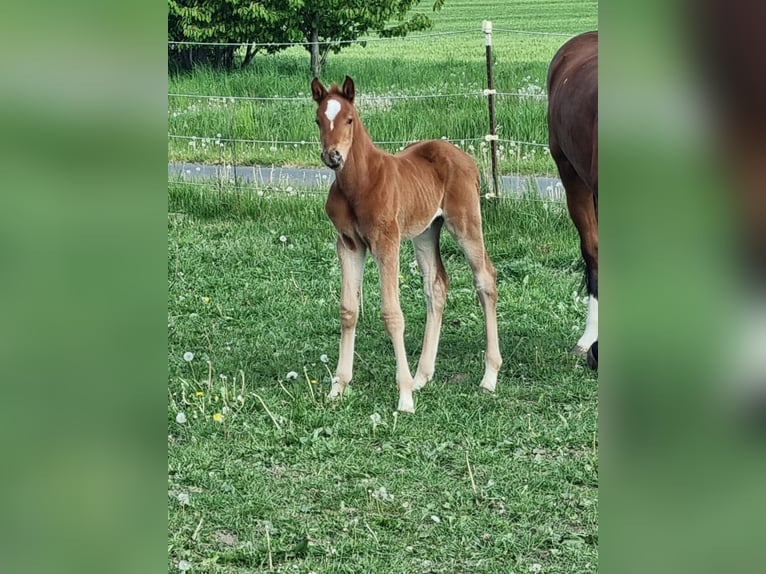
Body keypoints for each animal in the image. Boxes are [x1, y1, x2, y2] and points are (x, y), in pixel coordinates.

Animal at [310, 75, 502, 413]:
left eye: (349, 119)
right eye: (319, 119)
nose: (332, 156)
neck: (359, 183)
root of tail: (465, 158)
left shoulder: (386, 241)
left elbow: (392, 314)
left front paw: (404, 397)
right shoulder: (348, 244)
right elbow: (348, 309)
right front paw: (338, 387)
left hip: (465, 222)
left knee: (485, 278)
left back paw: (488, 376)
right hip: (425, 231)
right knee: (436, 284)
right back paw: (421, 376)